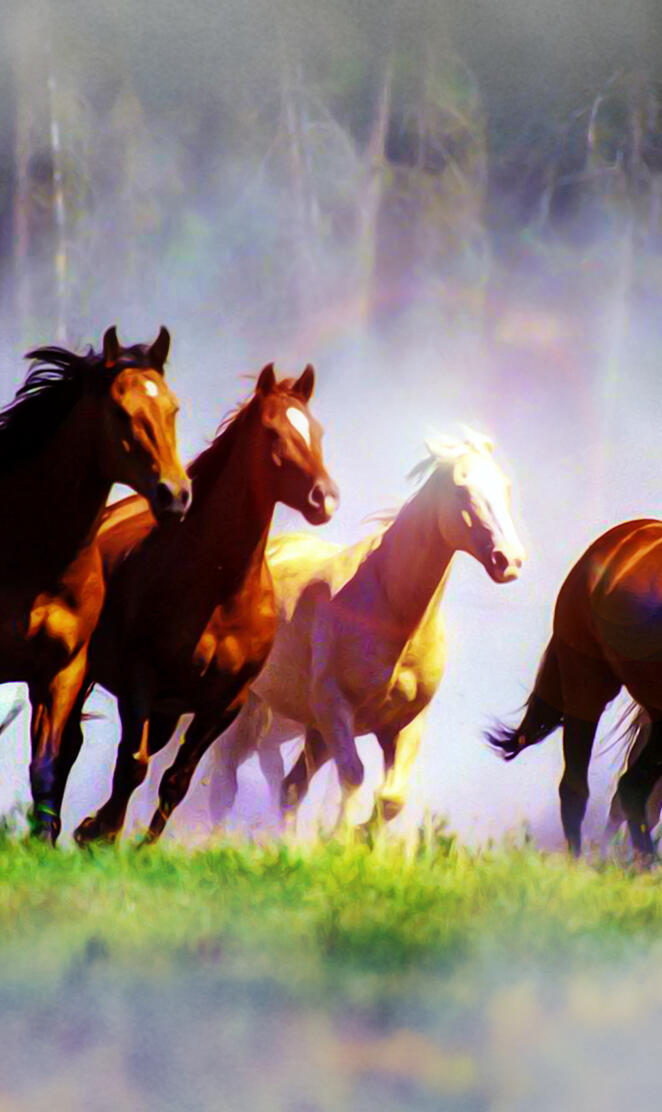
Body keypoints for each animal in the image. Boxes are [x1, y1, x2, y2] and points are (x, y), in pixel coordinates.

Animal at [0, 325, 190, 841]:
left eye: (173, 408)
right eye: (122, 411)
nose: (175, 494)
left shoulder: (62, 671)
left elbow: (47, 766)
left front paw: (44, 839)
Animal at [70, 362, 339, 846]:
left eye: (318, 431)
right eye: (273, 432)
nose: (323, 498)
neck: (219, 594)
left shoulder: (224, 703)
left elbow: (176, 780)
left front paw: (134, 845)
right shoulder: (140, 684)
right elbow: (132, 766)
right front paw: (105, 835)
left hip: (168, 709)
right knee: (68, 745)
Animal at [206, 430, 525, 836]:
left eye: (505, 486)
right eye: (459, 486)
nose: (509, 560)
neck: (392, 613)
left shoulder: (404, 724)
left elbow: (391, 798)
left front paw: (360, 837)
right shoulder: (337, 710)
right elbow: (354, 775)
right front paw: (340, 837)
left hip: (313, 730)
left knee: (289, 788)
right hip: (253, 710)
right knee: (224, 783)